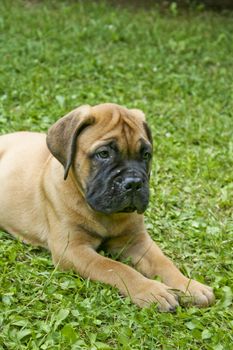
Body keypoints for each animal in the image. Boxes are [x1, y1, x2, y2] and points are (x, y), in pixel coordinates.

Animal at [0, 102, 215, 310]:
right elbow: (116, 268)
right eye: (103, 154)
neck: (104, 213)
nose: (134, 183)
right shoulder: (72, 249)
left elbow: (163, 262)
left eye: (146, 155)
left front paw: (189, 285)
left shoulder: (137, 240)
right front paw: (152, 290)